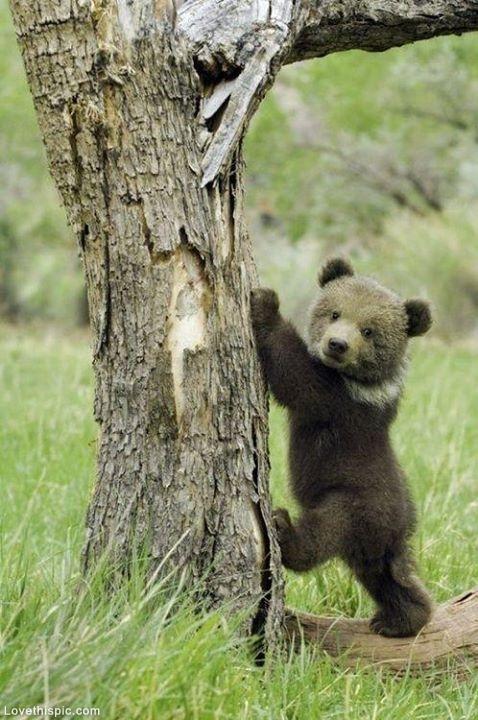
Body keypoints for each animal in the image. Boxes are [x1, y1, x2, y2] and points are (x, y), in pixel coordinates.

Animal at [251, 257, 433, 638]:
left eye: (369, 330)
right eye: (335, 313)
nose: (337, 344)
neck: (363, 381)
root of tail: (397, 527)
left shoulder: (340, 402)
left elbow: (295, 375)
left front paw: (265, 303)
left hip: (356, 502)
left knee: (325, 530)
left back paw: (285, 532)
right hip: (377, 543)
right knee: (385, 576)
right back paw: (403, 619)